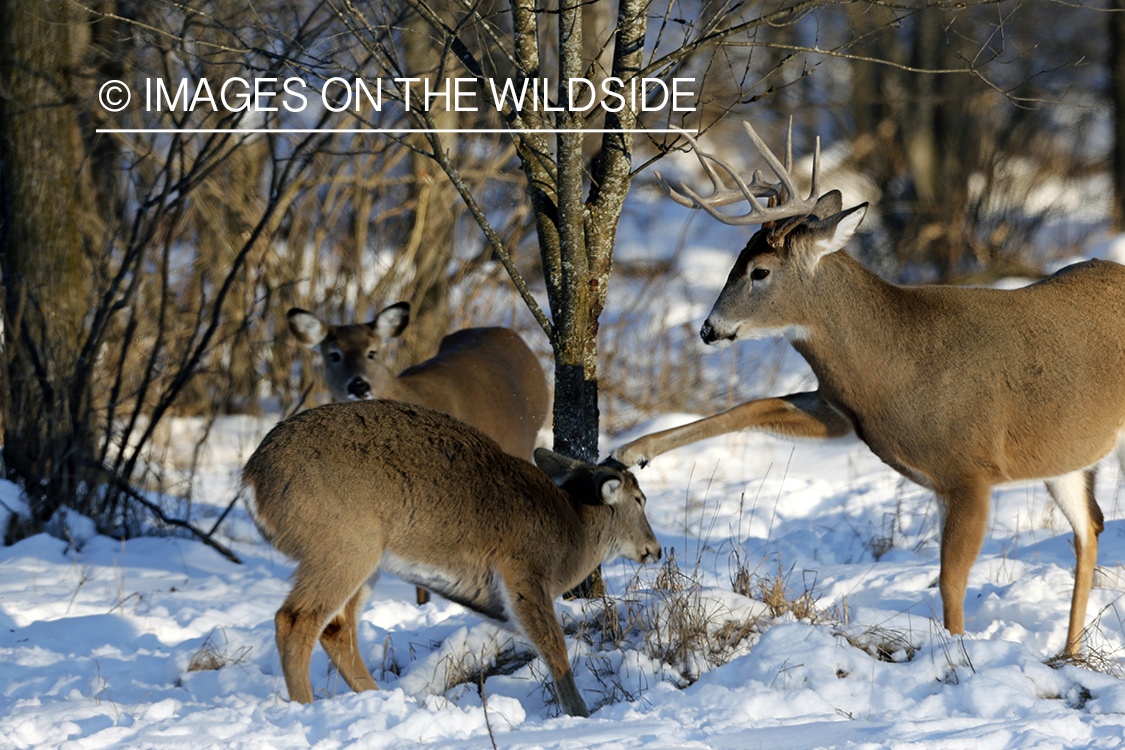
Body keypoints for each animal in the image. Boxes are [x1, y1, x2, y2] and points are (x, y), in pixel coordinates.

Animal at [239, 398, 657, 715]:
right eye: (640, 499)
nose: (654, 548)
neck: (573, 529)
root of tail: (251, 479)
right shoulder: (523, 572)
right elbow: (553, 646)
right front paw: (579, 713)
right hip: (343, 543)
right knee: (295, 619)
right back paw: (305, 707)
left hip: (363, 559)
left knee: (336, 627)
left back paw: (378, 699)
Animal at [612, 123, 1125, 656]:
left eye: (759, 271)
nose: (708, 329)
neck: (897, 365)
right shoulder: (843, 412)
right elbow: (751, 406)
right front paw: (632, 451)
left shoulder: (970, 470)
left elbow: (950, 581)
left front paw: (956, 657)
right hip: (1066, 454)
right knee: (1089, 527)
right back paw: (1068, 654)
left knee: (1090, 526)